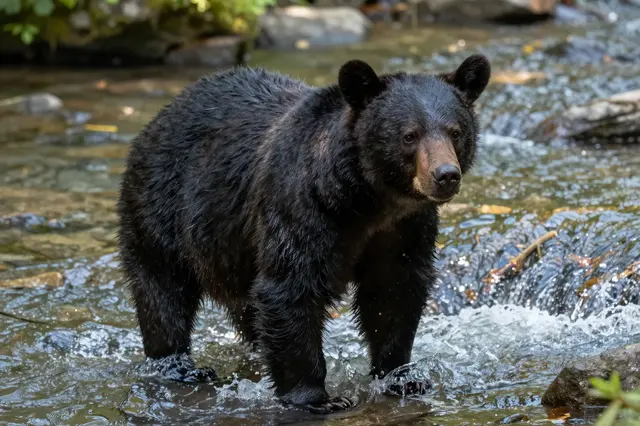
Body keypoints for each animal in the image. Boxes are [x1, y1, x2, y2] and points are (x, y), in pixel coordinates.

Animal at [117, 54, 491, 414]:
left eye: (455, 131)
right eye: (409, 135)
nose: (445, 175)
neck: (368, 200)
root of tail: (160, 116)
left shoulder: (405, 227)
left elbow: (394, 291)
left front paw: (401, 376)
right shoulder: (304, 209)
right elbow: (291, 287)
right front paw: (317, 397)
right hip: (162, 208)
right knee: (163, 289)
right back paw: (179, 365)